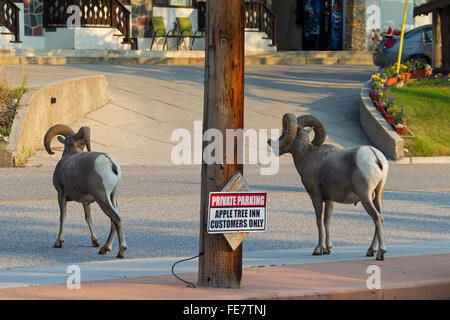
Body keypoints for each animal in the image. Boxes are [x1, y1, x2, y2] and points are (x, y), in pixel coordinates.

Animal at [44, 124, 127, 258]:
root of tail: (111, 163)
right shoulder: (85, 201)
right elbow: (88, 218)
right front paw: (95, 242)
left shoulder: (61, 194)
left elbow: (63, 216)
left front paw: (58, 242)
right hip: (113, 196)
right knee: (113, 220)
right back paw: (104, 248)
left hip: (102, 198)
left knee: (117, 218)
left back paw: (121, 251)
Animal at [268, 114, 388, 260]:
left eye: (284, 132)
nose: (271, 143)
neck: (308, 155)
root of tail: (375, 156)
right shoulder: (329, 199)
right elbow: (327, 220)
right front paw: (328, 249)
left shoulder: (316, 196)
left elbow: (319, 220)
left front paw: (318, 249)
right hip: (378, 195)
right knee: (381, 217)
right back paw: (370, 251)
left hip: (365, 197)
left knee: (376, 217)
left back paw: (380, 253)